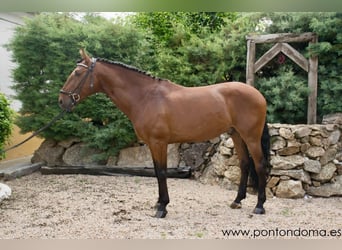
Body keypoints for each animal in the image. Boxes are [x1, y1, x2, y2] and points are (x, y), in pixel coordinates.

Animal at [59, 48, 272, 217]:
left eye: (77, 73)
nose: (62, 101)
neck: (146, 97)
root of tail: (258, 94)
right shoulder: (153, 145)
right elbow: (156, 171)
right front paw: (159, 203)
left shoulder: (158, 143)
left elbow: (161, 172)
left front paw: (162, 208)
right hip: (237, 135)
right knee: (244, 164)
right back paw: (237, 201)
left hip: (251, 137)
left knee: (260, 165)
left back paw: (260, 206)